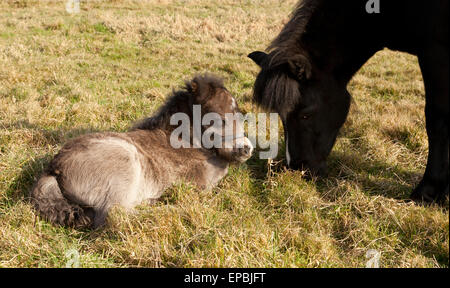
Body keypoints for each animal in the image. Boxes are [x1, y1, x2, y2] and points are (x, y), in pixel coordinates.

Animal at [31, 75, 255, 230]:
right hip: (126, 161)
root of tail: (55, 167)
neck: (185, 141)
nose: (246, 148)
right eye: (218, 118)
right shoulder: (203, 185)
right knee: (115, 215)